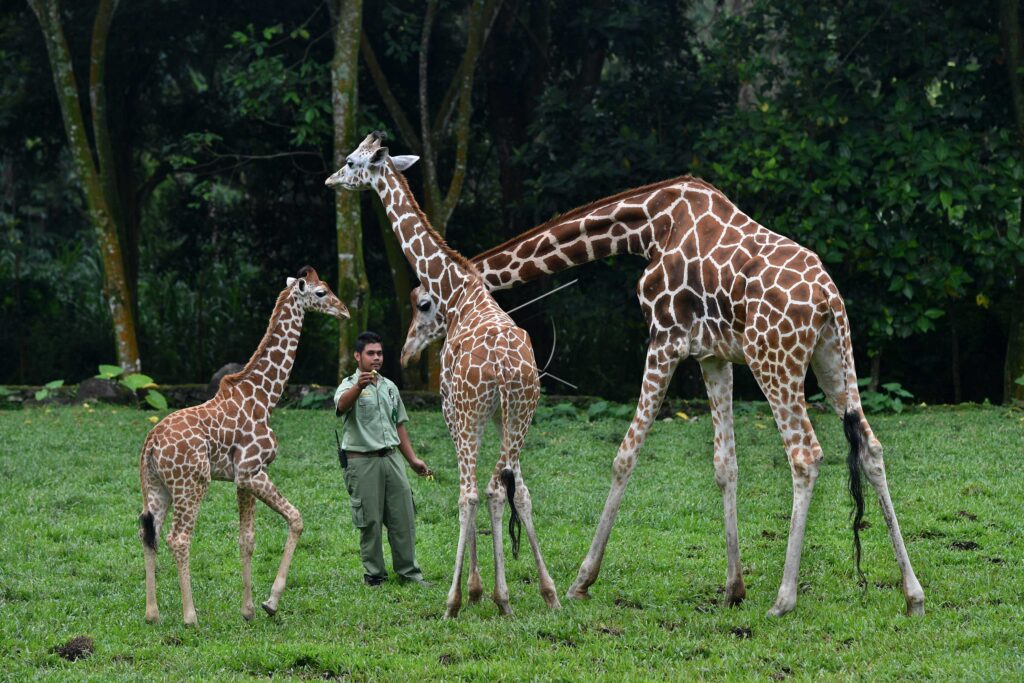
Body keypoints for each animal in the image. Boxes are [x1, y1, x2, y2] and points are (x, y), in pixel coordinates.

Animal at [138, 267, 348, 625]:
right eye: (321, 292)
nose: (344, 310)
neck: (265, 397)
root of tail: (150, 445)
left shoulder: (242, 478)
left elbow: (246, 539)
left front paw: (248, 609)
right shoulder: (252, 470)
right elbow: (296, 519)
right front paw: (270, 602)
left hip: (157, 487)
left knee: (148, 532)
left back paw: (153, 614)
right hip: (191, 483)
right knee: (178, 537)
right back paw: (190, 616)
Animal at [325, 132, 560, 618]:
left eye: (352, 161)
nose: (331, 179)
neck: (457, 290)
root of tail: (506, 369)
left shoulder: (452, 408)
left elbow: (468, 493)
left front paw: (473, 591)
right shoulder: (498, 415)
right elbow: (511, 491)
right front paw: (492, 591)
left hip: (472, 412)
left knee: (473, 491)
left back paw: (458, 600)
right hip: (522, 411)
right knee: (512, 489)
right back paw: (547, 594)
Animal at [404, 175, 924, 617]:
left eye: (423, 303)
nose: (408, 350)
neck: (649, 225)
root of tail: (828, 300)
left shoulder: (665, 339)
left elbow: (624, 457)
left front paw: (581, 582)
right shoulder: (712, 355)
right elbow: (725, 466)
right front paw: (733, 588)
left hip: (774, 362)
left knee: (805, 455)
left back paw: (784, 600)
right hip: (834, 359)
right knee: (871, 447)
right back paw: (912, 593)